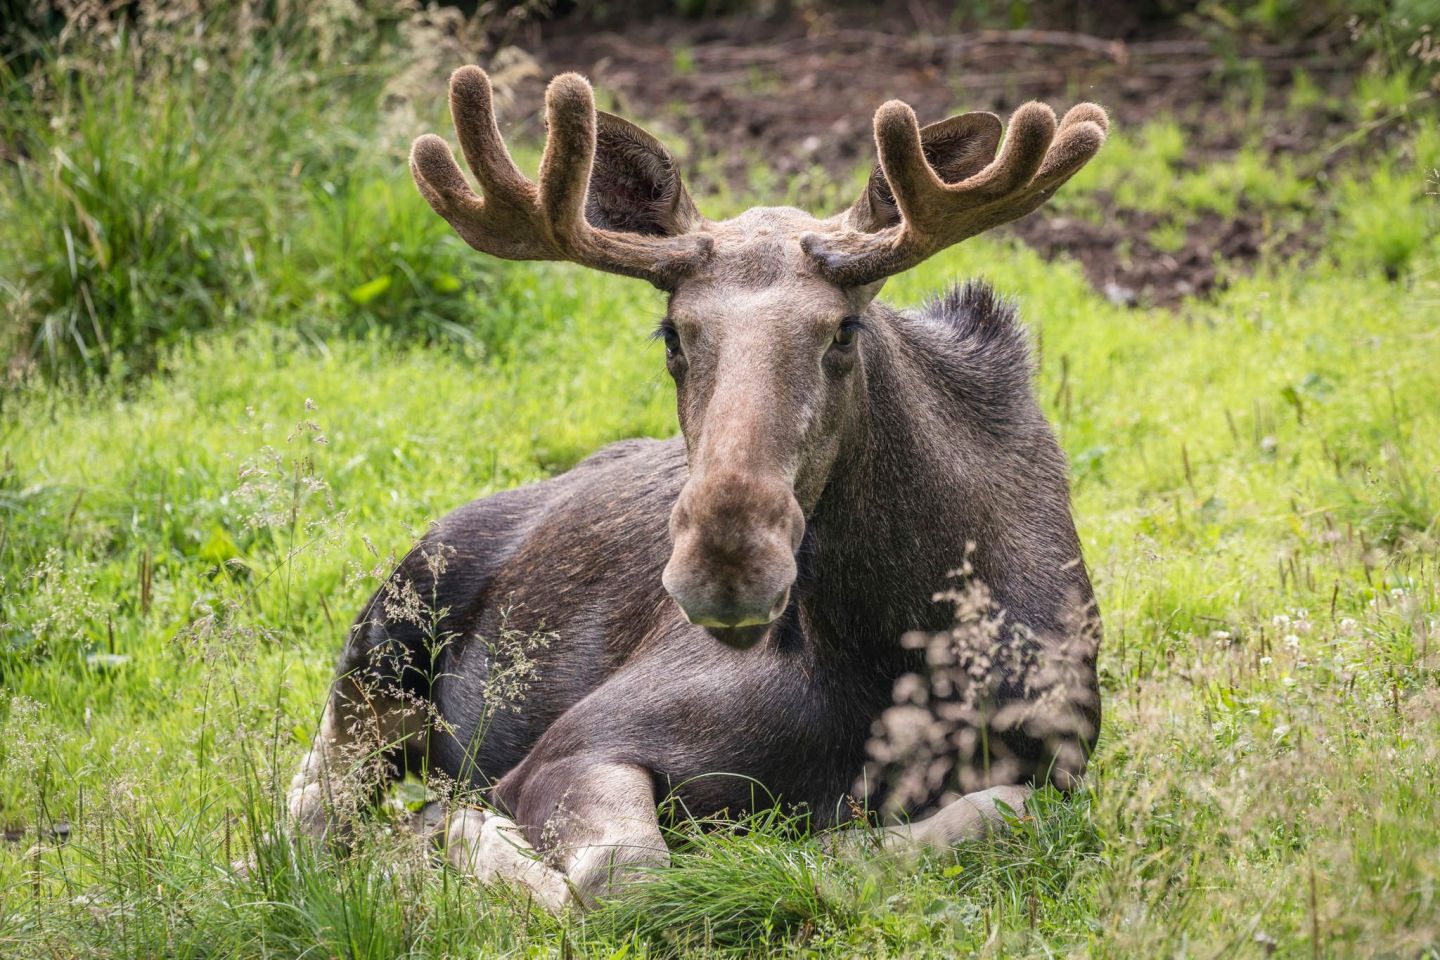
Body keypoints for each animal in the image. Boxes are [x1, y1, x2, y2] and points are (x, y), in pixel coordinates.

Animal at [286, 65, 1105, 909]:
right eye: (671, 335)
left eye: (844, 330)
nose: (728, 564)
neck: (893, 656)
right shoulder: (569, 748)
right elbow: (628, 874)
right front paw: (467, 835)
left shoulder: (1059, 764)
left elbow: (990, 816)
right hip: (377, 658)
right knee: (312, 812)